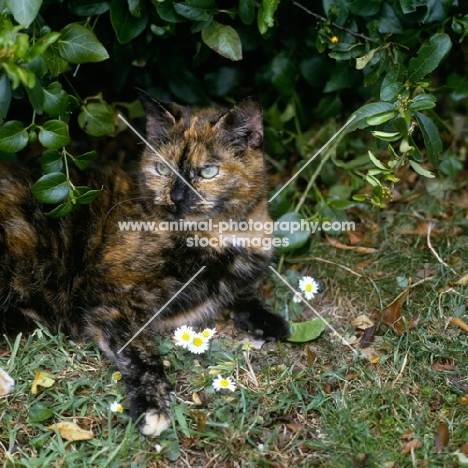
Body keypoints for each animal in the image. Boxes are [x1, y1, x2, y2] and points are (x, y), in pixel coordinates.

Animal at [0, 90, 290, 436]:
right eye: (162, 170)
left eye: (208, 172)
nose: (177, 197)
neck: (218, 236)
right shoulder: (109, 292)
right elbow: (140, 351)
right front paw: (153, 404)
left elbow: (242, 293)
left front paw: (267, 319)